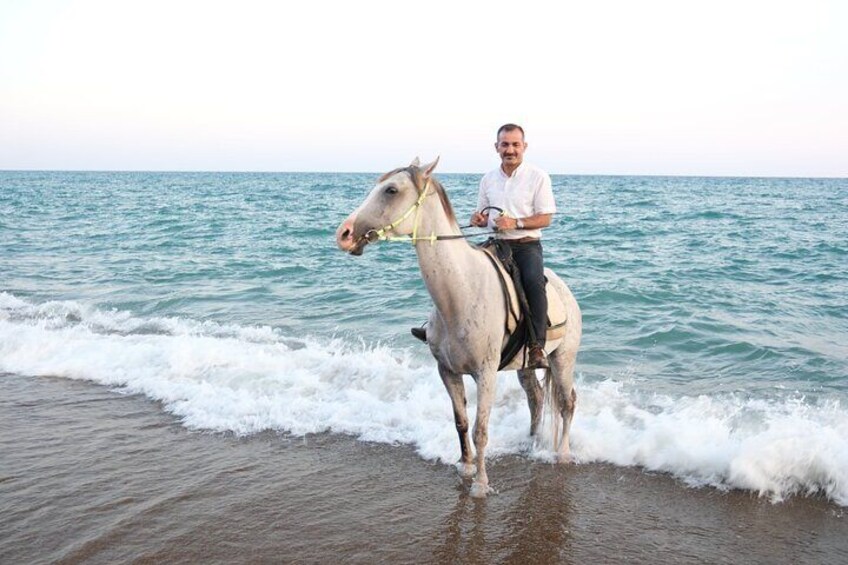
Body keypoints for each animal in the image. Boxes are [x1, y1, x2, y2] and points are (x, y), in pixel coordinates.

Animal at [334, 156, 580, 496]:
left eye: (391, 190)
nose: (343, 234)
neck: (460, 293)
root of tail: (566, 292)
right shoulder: (447, 371)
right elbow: (461, 422)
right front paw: (465, 467)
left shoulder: (486, 373)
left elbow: (480, 429)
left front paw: (481, 484)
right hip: (527, 366)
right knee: (537, 399)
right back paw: (532, 444)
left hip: (562, 358)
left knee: (566, 402)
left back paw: (564, 454)